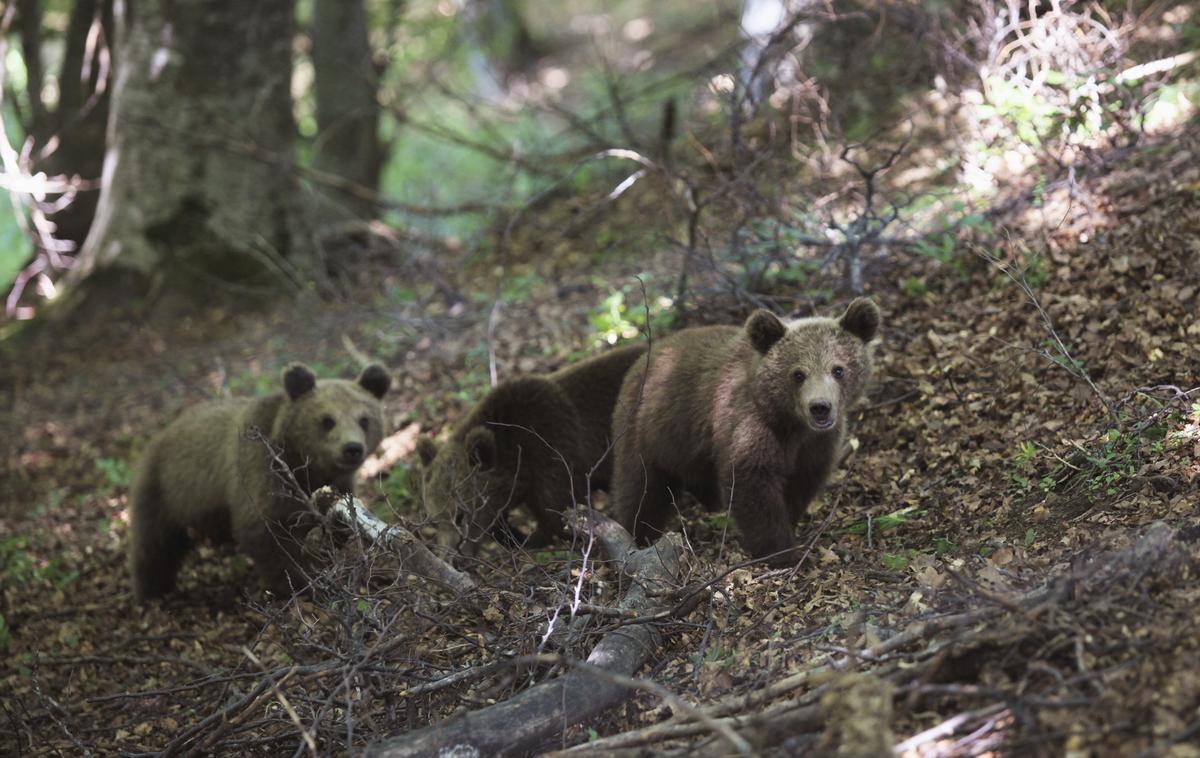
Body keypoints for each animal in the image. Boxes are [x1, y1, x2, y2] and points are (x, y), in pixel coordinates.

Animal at [127, 362, 388, 604]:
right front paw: (302, 582)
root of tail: (158, 434)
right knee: (155, 546)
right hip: (165, 488)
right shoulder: (261, 469)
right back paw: (152, 593)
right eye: (327, 420)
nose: (352, 448)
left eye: (364, 420)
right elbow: (264, 530)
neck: (302, 464)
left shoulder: (337, 483)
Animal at [420, 343, 648, 556]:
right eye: (433, 521)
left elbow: (561, 509)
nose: (452, 557)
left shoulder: (552, 447)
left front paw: (536, 538)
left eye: (460, 515)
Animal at [609, 298, 883, 566]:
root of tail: (643, 359)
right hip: (646, 430)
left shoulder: (818, 443)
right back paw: (638, 532)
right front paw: (783, 552)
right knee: (641, 487)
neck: (791, 423)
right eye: (798, 374)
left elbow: (803, 480)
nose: (820, 407)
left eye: (838, 369)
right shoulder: (750, 426)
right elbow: (752, 483)